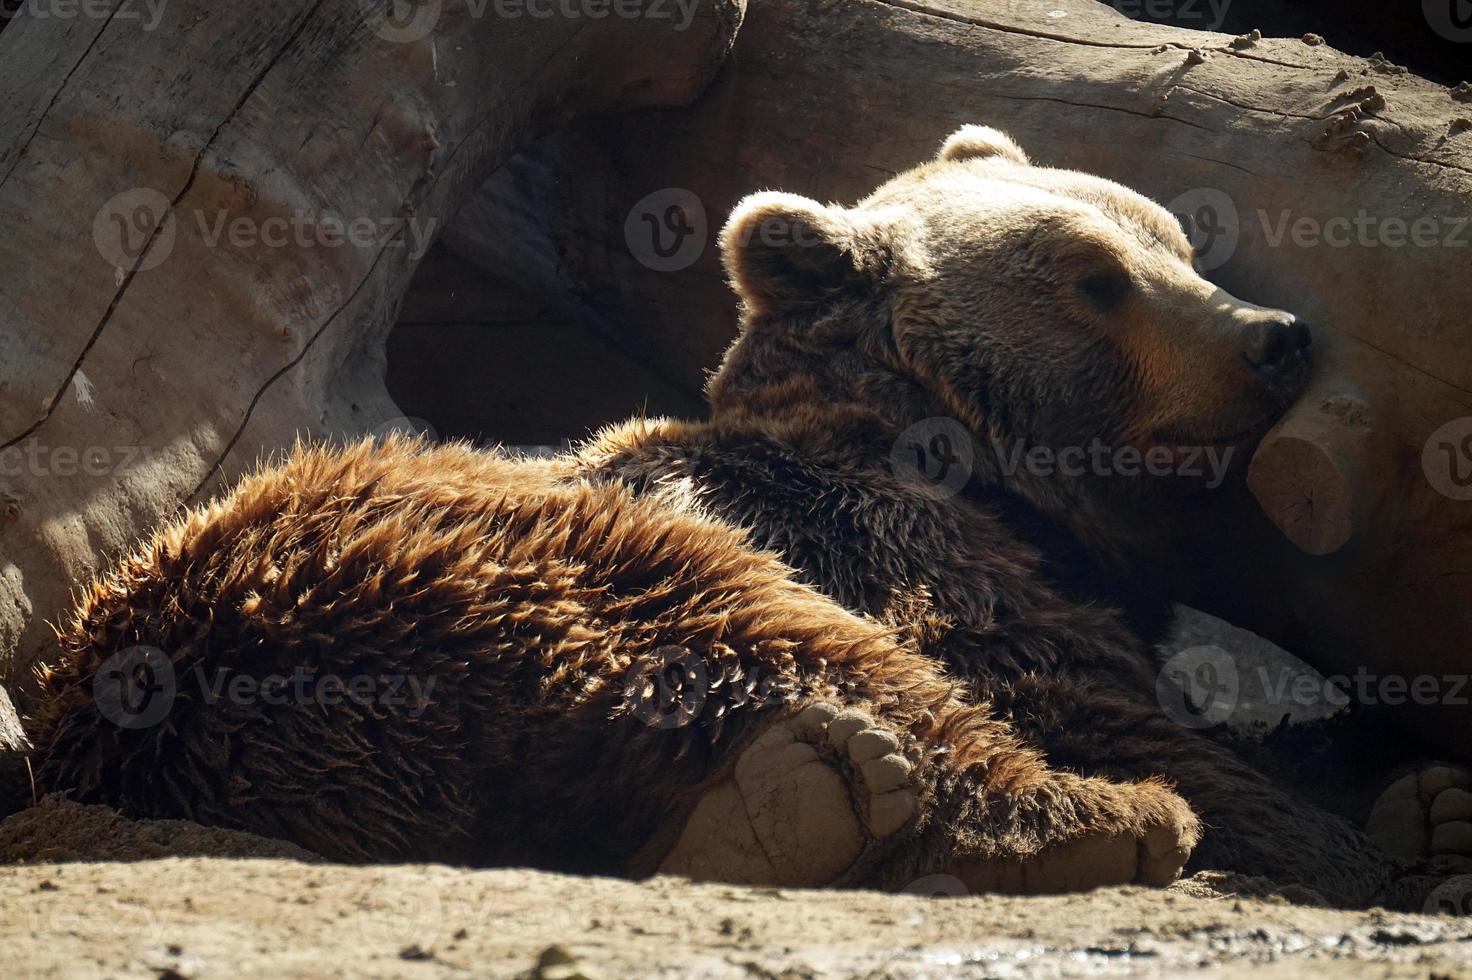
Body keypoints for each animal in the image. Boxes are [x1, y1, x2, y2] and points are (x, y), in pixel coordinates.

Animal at [5, 125, 1454, 906]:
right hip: (470, 542)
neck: (984, 471)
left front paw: (1402, 786)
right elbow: (1119, 708)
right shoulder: (913, 549)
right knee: (791, 640)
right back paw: (1074, 813)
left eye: (1167, 237)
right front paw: (1357, 825)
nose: (1273, 336)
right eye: (1095, 278)